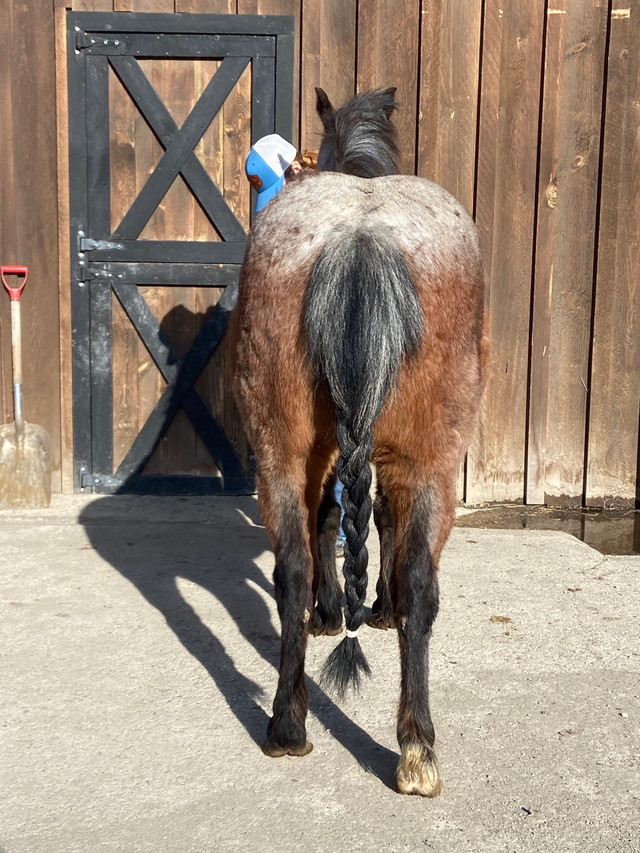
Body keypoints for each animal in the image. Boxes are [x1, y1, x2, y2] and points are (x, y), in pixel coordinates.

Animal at [228, 88, 488, 800]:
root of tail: (360, 236)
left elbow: (336, 526)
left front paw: (339, 609)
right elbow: (379, 528)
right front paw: (365, 608)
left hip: (286, 451)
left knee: (292, 569)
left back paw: (293, 725)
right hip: (424, 459)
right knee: (414, 577)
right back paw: (411, 742)